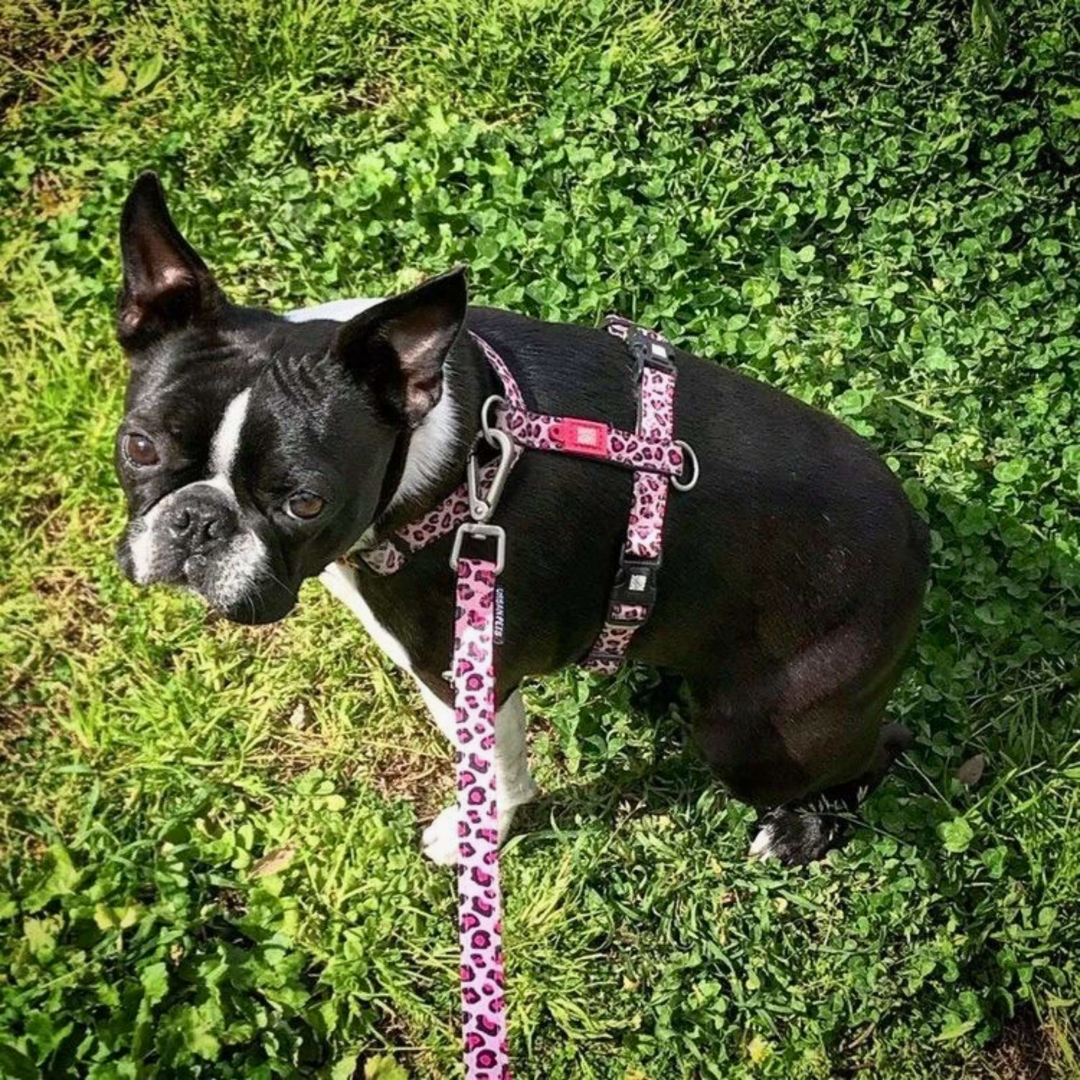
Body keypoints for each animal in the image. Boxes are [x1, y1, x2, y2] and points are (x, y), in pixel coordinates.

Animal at [116, 177, 928, 868]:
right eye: (138, 446)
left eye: (305, 502)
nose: (197, 523)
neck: (451, 448)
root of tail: (919, 538)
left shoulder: (465, 671)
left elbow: (494, 768)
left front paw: (481, 832)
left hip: (759, 737)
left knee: (880, 746)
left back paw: (801, 830)